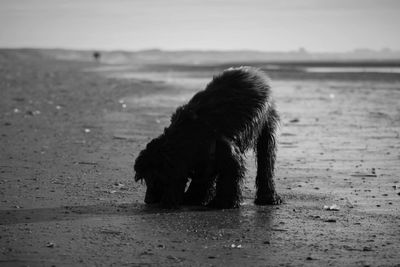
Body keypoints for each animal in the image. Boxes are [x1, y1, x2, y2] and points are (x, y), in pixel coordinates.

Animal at [134, 66, 282, 209]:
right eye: (145, 178)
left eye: (154, 178)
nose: (147, 200)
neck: (186, 137)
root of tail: (255, 72)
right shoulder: (205, 156)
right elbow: (203, 176)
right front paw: (193, 198)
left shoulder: (227, 152)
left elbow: (228, 176)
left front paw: (222, 203)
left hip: (267, 126)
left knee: (266, 161)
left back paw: (269, 199)